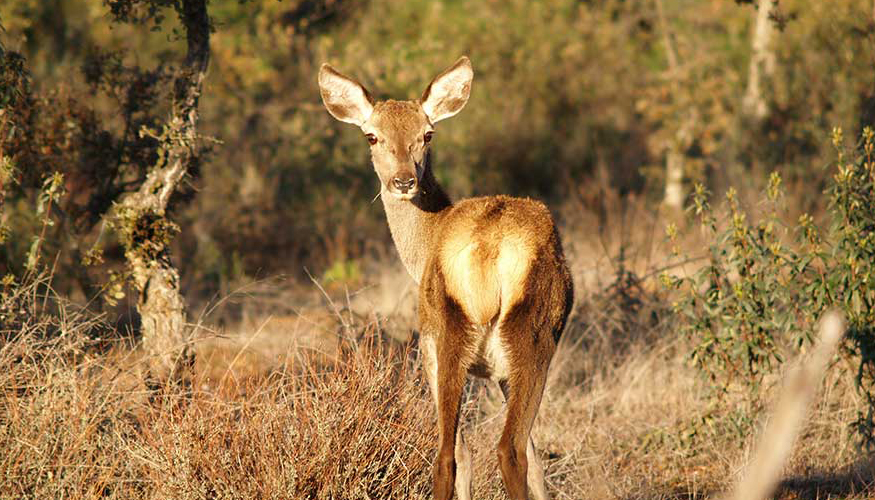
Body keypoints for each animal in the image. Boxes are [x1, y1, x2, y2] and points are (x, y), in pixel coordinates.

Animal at [318, 55, 580, 500]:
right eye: (372, 136)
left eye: (427, 134)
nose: (403, 180)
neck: (423, 245)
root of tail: (488, 250)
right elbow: (534, 459)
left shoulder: (435, 348)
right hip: (513, 340)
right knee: (503, 450)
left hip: (455, 333)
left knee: (466, 453)